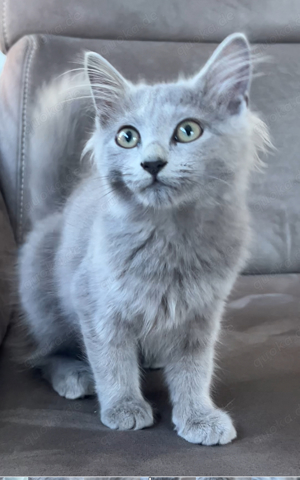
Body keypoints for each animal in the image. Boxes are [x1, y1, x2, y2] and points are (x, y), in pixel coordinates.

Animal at [18, 32, 270, 446]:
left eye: (188, 130)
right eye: (127, 136)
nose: (152, 163)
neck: (171, 237)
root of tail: (56, 211)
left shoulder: (201, 315)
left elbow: (194, 370)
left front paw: (198, 416)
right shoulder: (97, 307)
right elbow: (112, 362)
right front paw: (124, 408)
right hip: (47, 308)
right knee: (44, 356)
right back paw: (74, 375)